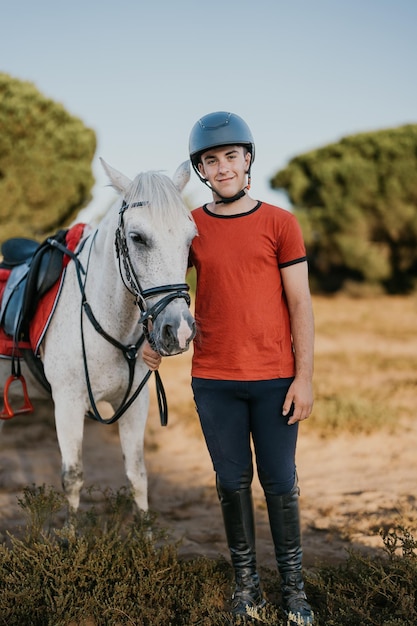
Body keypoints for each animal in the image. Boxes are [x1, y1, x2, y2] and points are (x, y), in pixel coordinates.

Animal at [0, 158, 197, 516]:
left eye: (191, 238)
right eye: (137, 237)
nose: (180, 330)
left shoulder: (135, 404)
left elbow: (138, 475)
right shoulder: (67, 402)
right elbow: (73, 477)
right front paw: (70, 531)